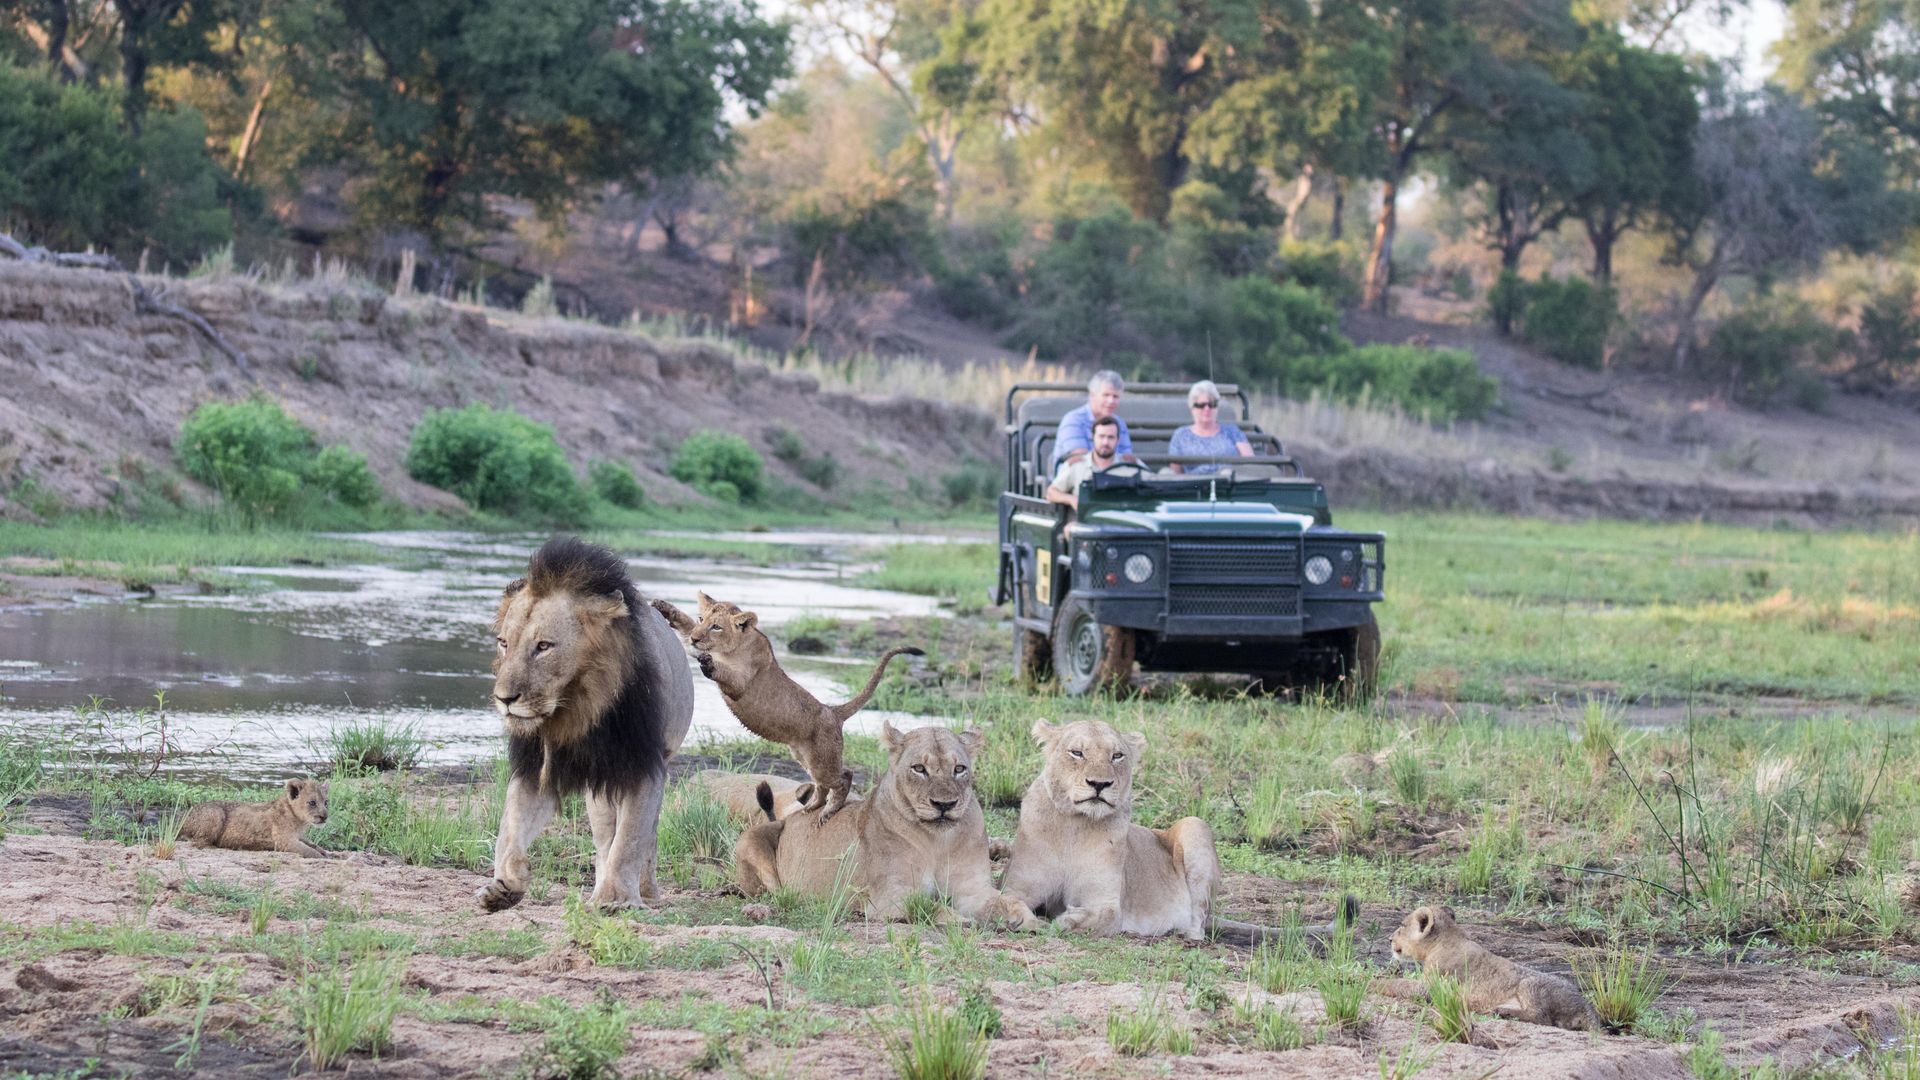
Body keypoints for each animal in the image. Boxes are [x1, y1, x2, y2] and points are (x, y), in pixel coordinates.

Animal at [480, 534, 698, 907]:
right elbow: (511, 829)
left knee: (644, 836)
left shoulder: (643, 766)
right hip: (599, 789)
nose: (505, 699)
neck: (575, 708)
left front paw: (617, 899)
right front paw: (504, 886)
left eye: (543, 646)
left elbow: (630, 841)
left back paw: (645, 894)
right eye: (504, 643)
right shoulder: (535, 767)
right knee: (603, 837)